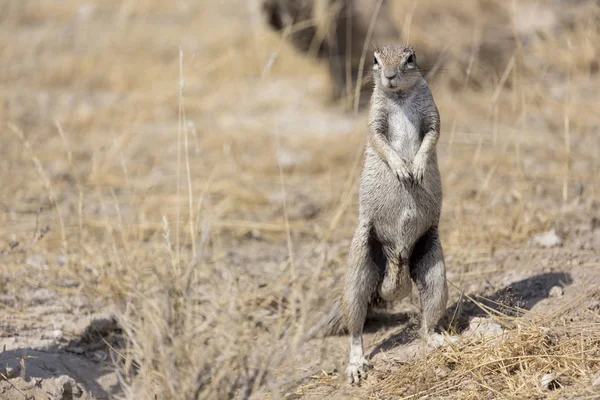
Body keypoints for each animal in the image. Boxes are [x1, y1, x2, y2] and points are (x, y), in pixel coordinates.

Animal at [340, 44, 448, 384]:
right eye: (375, 59)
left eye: (409, 58)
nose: (388, 75)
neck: (399, 96)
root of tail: (397, 256)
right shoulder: (374, 117)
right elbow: (379, 139)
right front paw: (402, 168)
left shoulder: (432, 110)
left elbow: (433, 133)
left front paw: (418, 166)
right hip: (360, 263)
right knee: (355, 326)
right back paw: (356, 363)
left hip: (434, 265)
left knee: (428, 317)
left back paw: (438, 339)